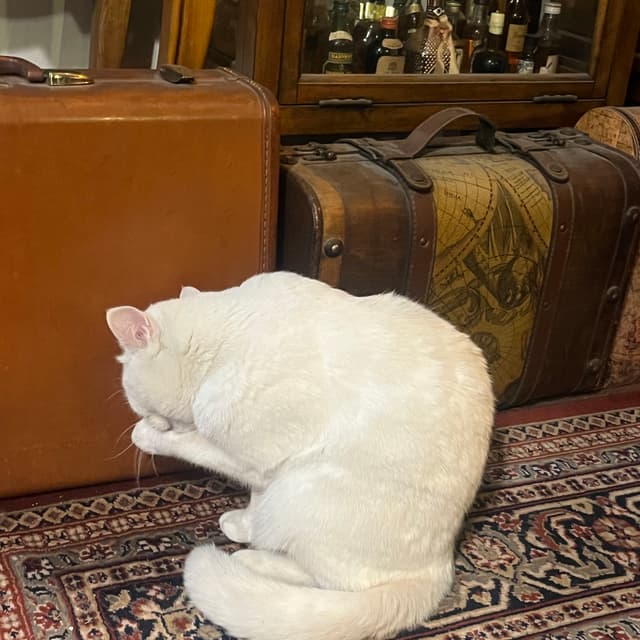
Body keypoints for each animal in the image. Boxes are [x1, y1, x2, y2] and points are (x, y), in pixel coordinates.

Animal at [106, 271, 494, 640]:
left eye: (135, 402)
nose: (143, 417)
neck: (225, 338)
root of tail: (438, 566)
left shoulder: (249, 454)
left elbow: (194, 445)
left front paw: (145, 435)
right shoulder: (263, 473)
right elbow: (255, 499)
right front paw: (245, 524)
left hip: (300, 490)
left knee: (327, 581)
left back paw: (253, 560)